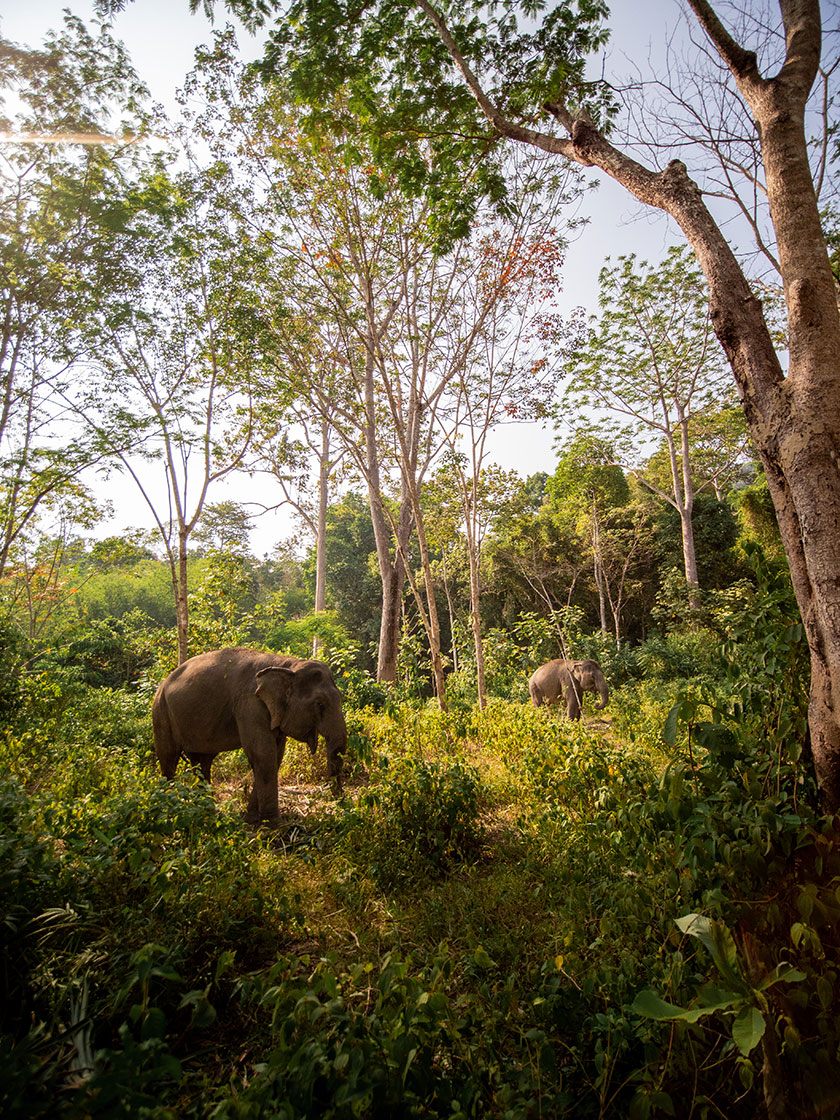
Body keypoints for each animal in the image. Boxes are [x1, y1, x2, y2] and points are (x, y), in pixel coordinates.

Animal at [152, 648, 346, 824]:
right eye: (320, 704)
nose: (340, 803)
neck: (287, 664)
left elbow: (276, 756)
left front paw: (251, 820)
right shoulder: (250, 703)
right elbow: (263, 754)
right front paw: (273, 826)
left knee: (202, 763)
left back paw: (207, 813)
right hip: (161, 712)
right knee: (169, 759)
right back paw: (170, 811)